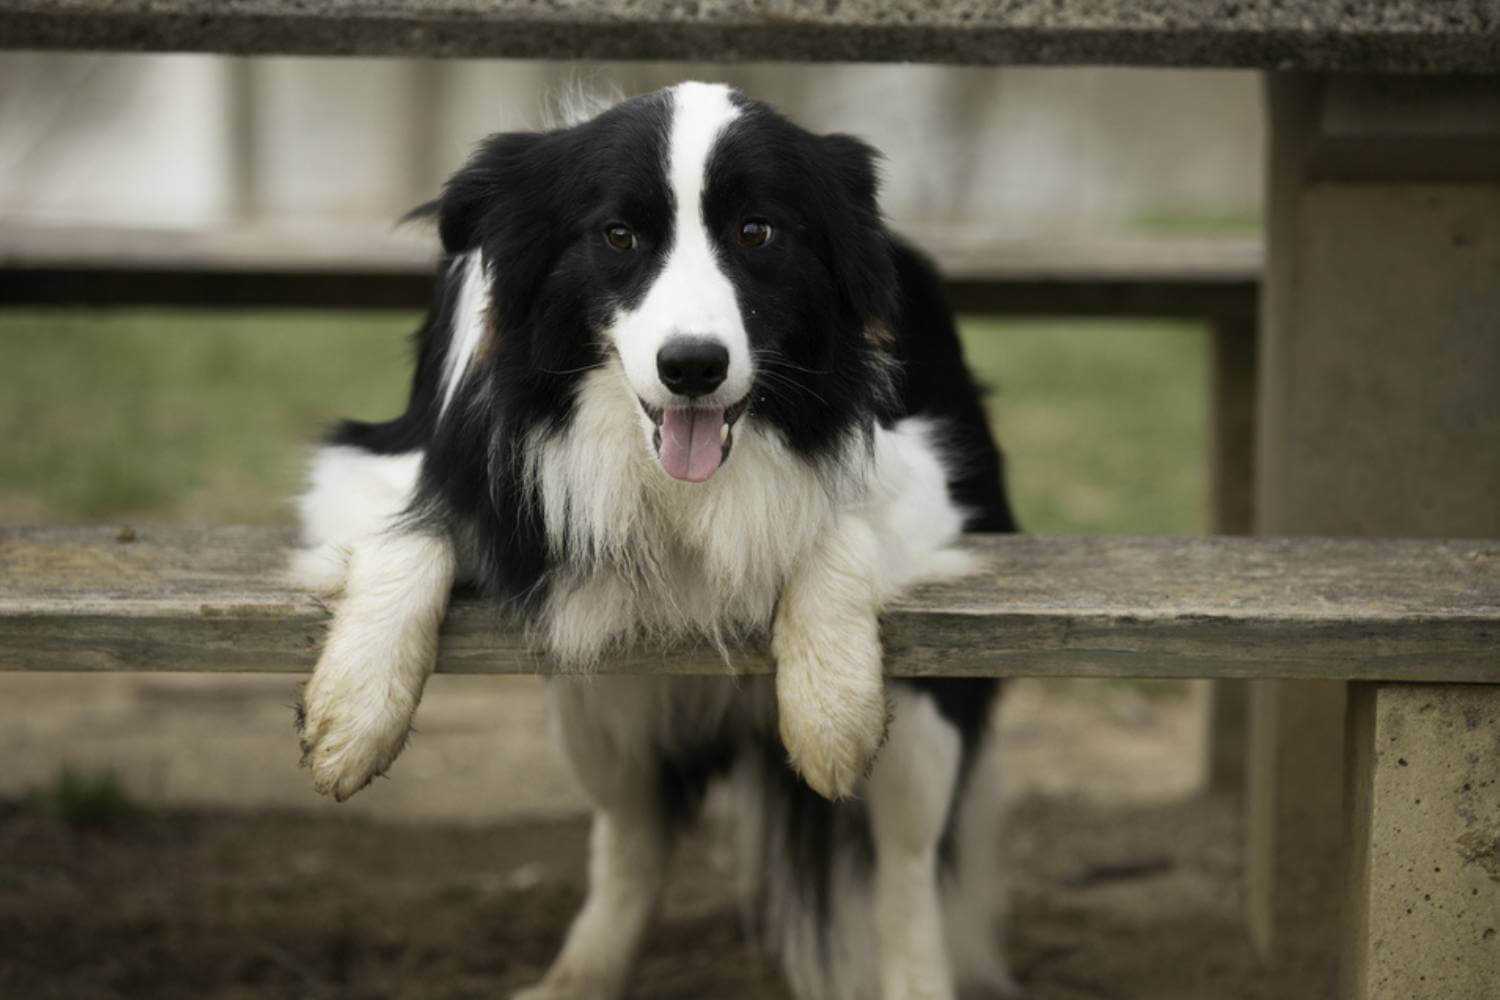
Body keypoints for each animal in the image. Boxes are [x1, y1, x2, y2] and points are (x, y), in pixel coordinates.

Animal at [289, 83, 1020, 1000]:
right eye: (618, 236)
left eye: (756, 232)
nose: (693, 368)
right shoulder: (385, 458)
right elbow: (413, 531)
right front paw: (355, 717)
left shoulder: (929, 474)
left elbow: (834, 522)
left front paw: (829, 708)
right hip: (595, 702)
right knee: (632, 836)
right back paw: (577, 976)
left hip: (923, 721)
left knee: (908, 868)